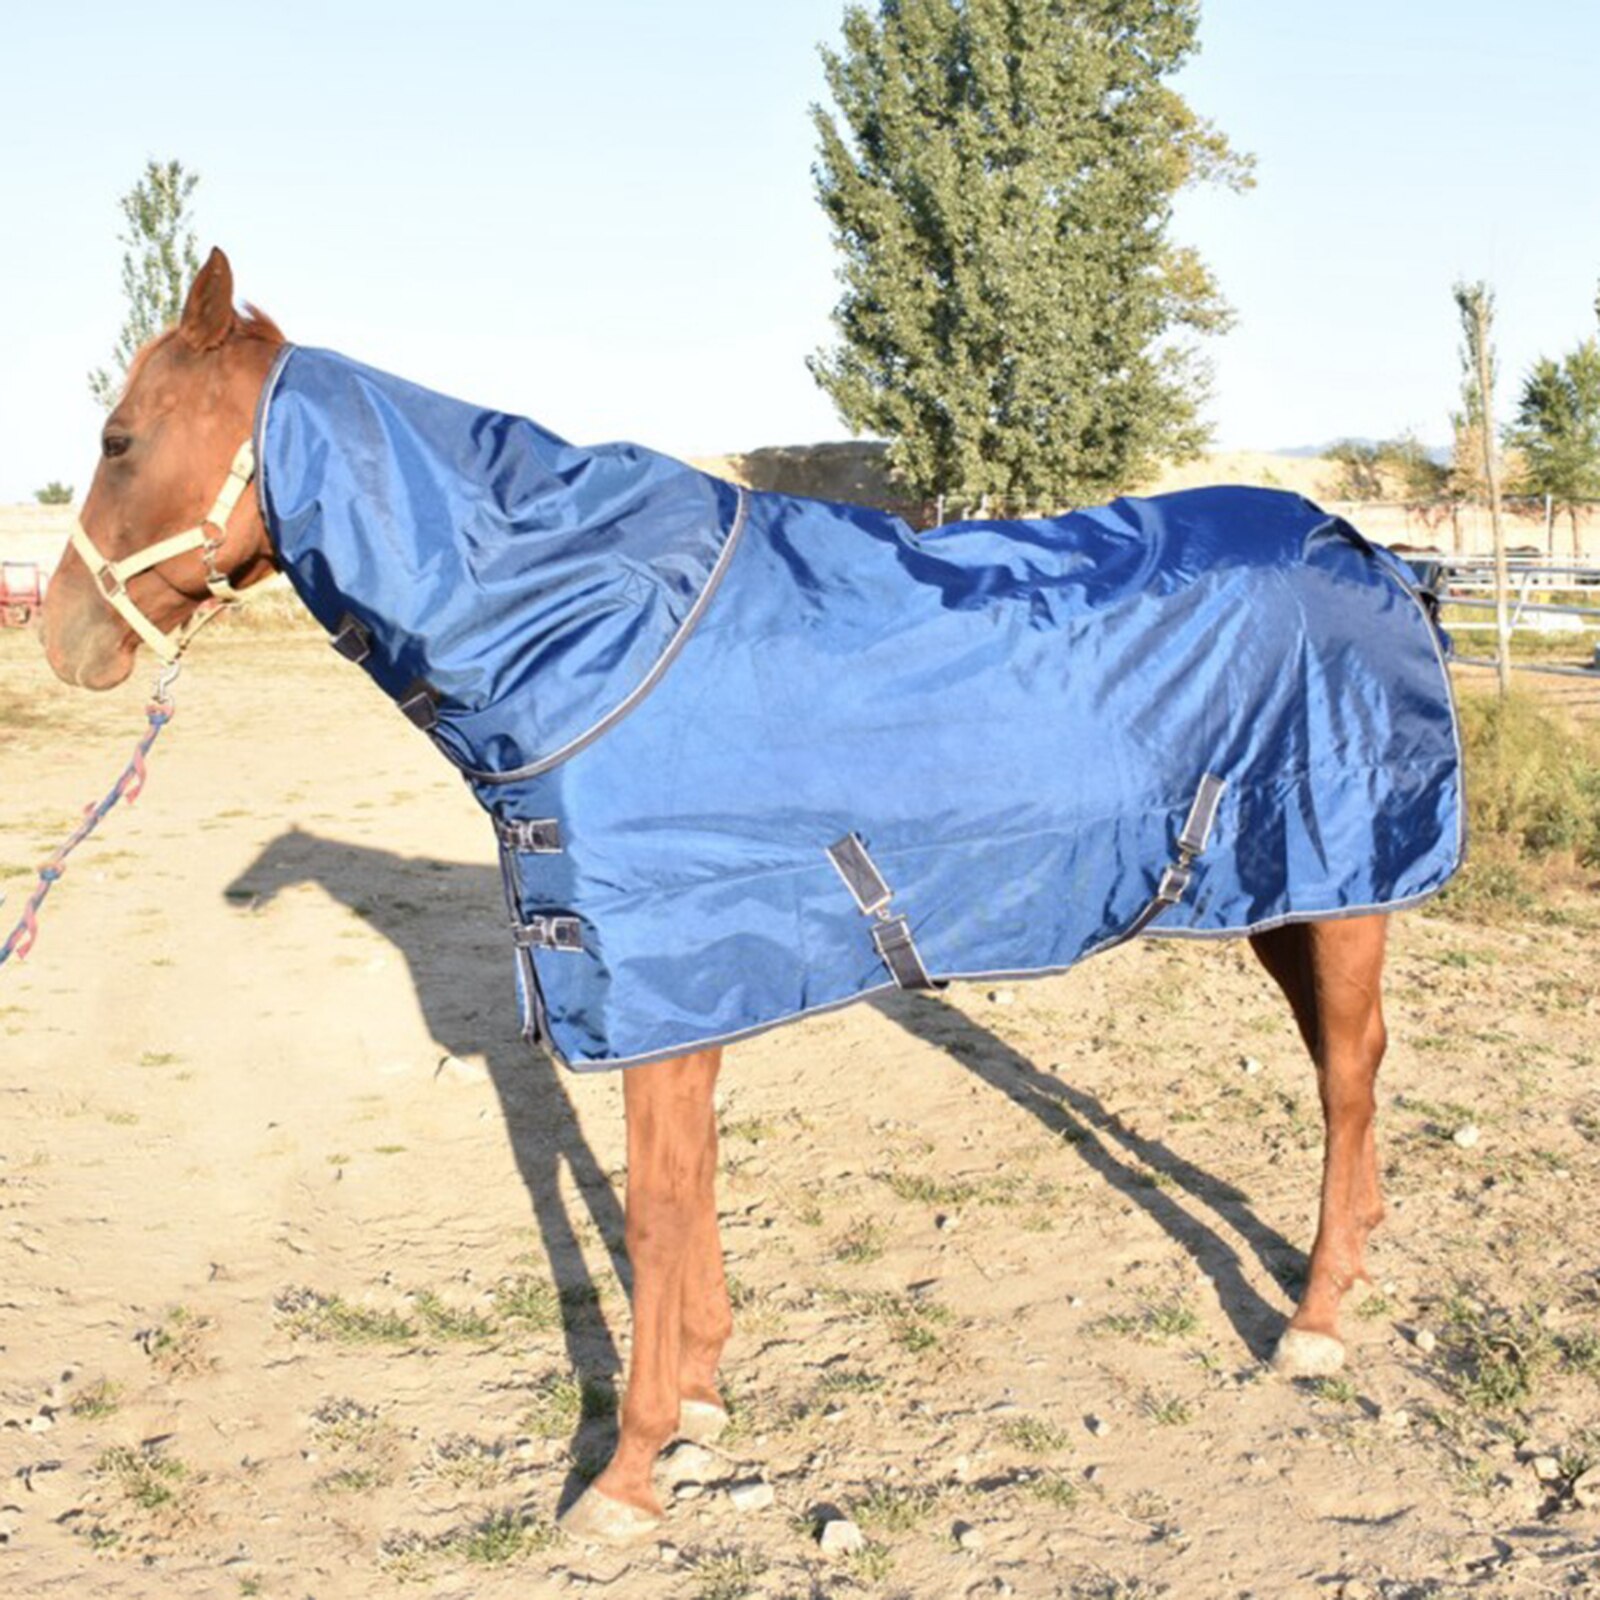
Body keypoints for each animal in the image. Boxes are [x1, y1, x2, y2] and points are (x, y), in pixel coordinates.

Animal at [43, 247, 1414, 1545]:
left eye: (120, 440)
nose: (61, 638)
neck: (591, 633)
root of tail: (1363, 547)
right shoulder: (683, 991)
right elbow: (687, 1192)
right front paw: (701, 1397)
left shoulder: (658, 980)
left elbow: (652, 1213)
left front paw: (626, 1474)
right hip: (1286, 896)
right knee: (1342, 1065)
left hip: (1338, 878)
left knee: (1346, 1077)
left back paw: (1313, 1320)